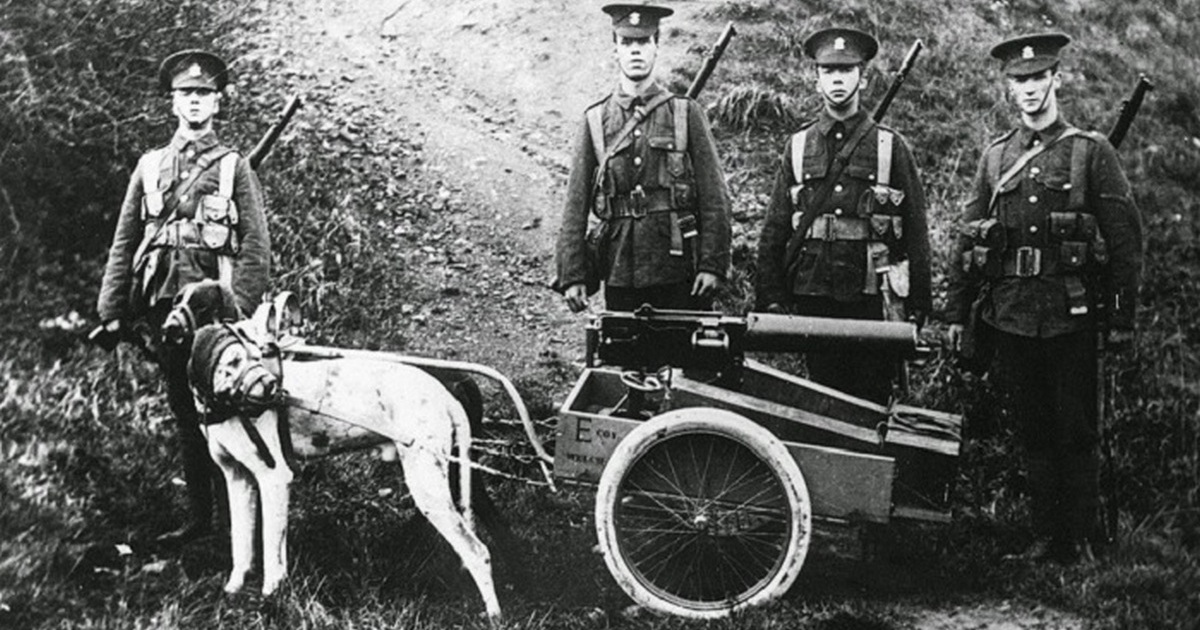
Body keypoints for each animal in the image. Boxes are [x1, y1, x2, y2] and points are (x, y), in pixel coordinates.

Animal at [164, 280, 503, 620]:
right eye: (176, 300)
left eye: (203, 306)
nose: (169, 327)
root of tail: (444, 393)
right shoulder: (238, 479)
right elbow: (242, 546)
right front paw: (233, 590)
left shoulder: (274, 480)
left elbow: (272, 551)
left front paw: (271, 597)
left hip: (429, 486)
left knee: (479, 551)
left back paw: (494, 613)